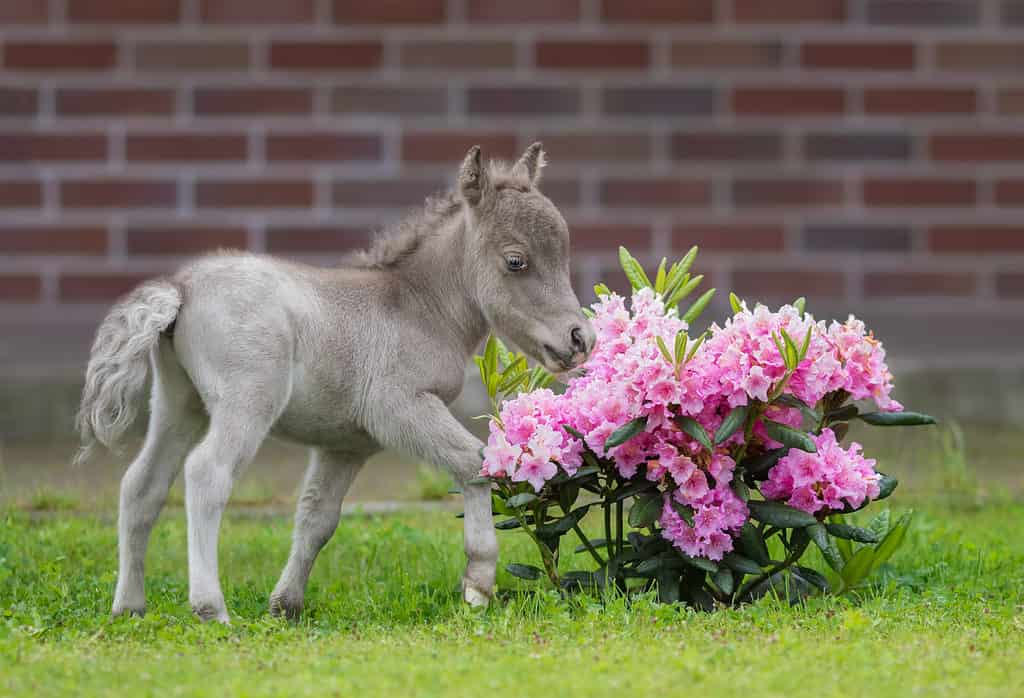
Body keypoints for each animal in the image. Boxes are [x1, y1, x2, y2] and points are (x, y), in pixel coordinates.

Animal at [75, 143, 596, 623]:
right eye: (516, 261)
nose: (580, 338)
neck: (417, 306)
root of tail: (181, 288)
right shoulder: (397, 407)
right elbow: (473, 463)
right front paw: (478, 584)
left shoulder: (347, 443)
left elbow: (317, 518)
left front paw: (285, 605)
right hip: (246, 401)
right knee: (206, 475)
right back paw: (211, 609)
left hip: (178, 402)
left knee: (142, 484)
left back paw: (128, 607)